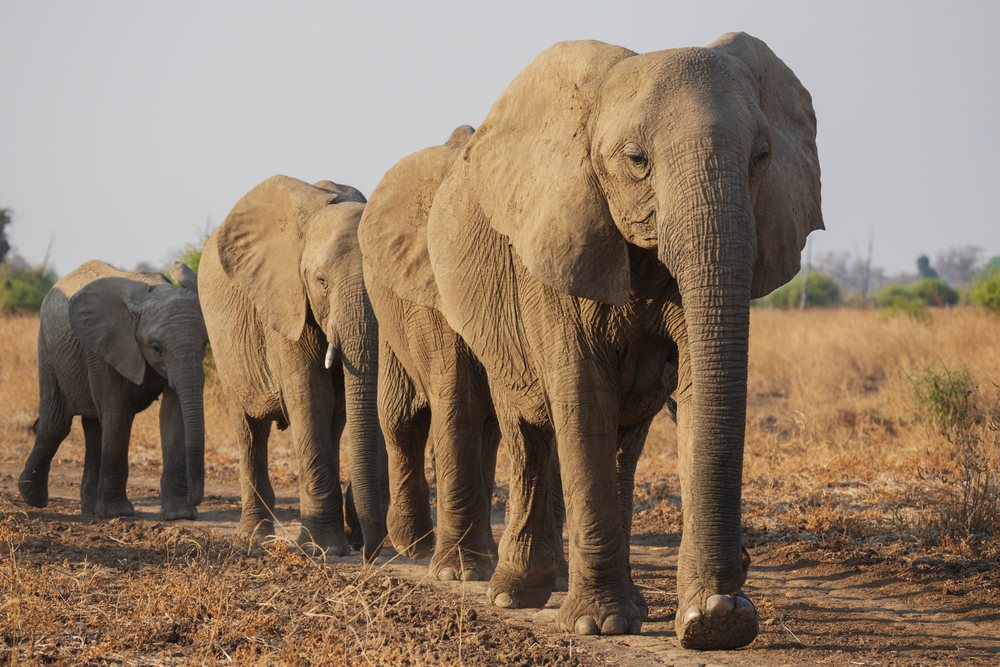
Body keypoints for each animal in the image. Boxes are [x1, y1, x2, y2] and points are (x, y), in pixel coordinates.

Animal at [18, 260, 206, 520]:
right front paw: (118, 512)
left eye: (205, 345)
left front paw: (180, 514)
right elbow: (118, 414)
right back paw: (33, 499)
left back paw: (90, 511)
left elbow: (174, 415)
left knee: (94, 427)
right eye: (156, 348)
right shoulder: (103, 350)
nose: (195, 500)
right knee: (55, 426)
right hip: (47, 348)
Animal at [199, 175, 387, 560]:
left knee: (334, 421)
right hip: (225, 348)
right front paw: (321, 549)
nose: (366, 550)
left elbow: (339, 403)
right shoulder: (285, 300)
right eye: (321, 281)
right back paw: (254, 537)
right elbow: (310, 395)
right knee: (250, 431)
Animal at [399, 33, 820, 649]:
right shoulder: (554, 244)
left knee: (622, 441)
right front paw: (601, 625)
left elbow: (694, 390)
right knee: (526, 430)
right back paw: (516, 594)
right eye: (636, 161)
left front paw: (713, 620)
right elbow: (581, 397)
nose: (726, 604)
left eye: (761, 158)